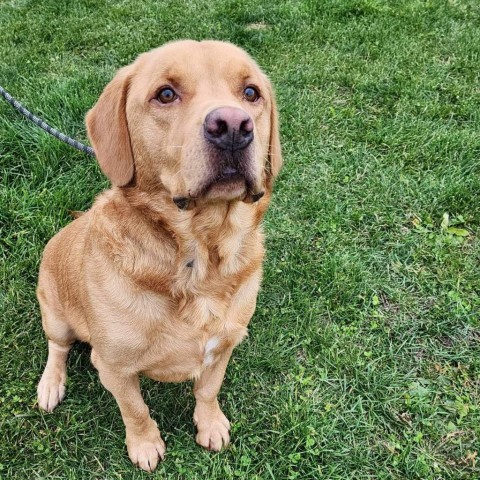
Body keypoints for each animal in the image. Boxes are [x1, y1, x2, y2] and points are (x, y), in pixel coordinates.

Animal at [36, 39, 282, 470]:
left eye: (251, 93)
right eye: (165, 94)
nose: (233, 126)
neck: (200, 257)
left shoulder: (223, 347)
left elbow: (207, 390)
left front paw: (209, 424)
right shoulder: (113, 368)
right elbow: (135, 409)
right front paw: (145, 444)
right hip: (56, 316)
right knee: (58, 348)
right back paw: (51, 384)